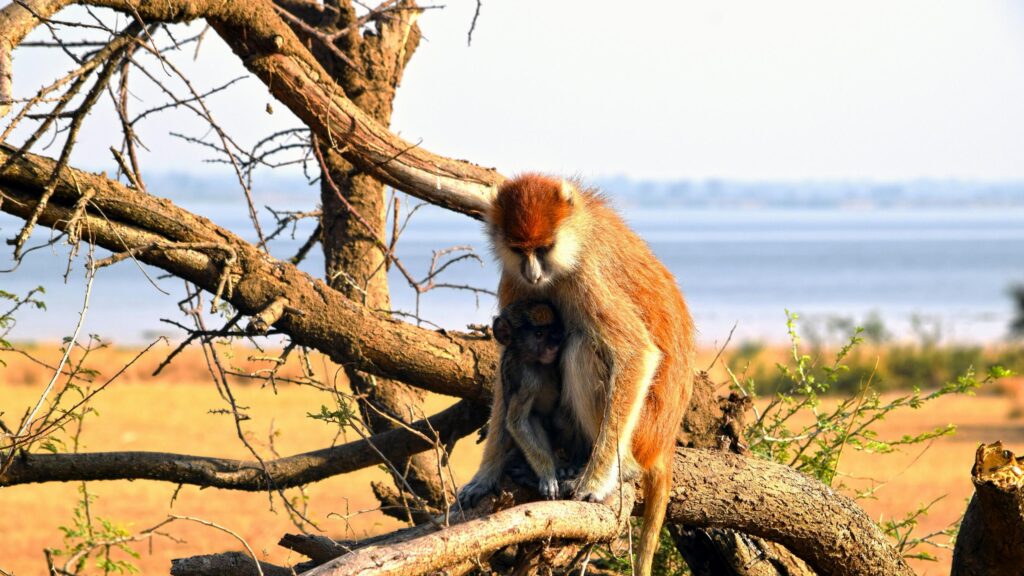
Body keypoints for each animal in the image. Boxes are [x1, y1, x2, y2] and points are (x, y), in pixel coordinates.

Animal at [458, 300, 588, 507]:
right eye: (539, 334)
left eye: (553, 331)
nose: (554, 345)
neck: (532, 361)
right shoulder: (525, 378)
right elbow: (516, 422)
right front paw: (547, 474)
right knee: (534, 418)